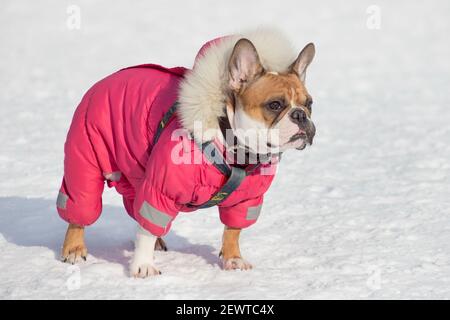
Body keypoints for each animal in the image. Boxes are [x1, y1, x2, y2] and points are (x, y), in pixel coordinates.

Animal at [58, 28, 314, 276]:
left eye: (309, 103)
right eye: (275, 105)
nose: (300, 115)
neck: (234, 148)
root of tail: (104, 80)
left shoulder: (246, 201)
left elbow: (233, 229)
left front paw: (233, 259)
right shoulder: (160, 189)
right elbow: (148, 226)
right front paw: (143, 266)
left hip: (137, 172)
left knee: (136, 208)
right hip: (87, 161)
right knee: (80, 207)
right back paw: (74, 249)